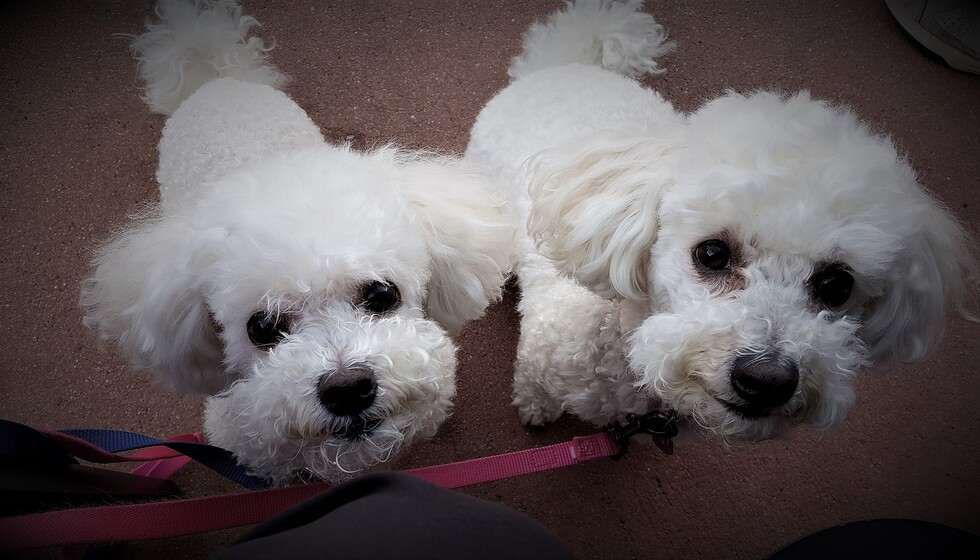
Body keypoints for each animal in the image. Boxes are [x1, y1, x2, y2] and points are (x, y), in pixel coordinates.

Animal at [466, 0, 978, 442]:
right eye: (711, 253)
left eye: (836, 285)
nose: (768, 380)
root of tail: (565, 63)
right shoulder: (540, 356)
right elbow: (533, 385)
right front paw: (535, 408)